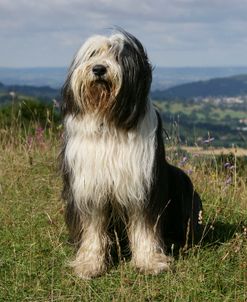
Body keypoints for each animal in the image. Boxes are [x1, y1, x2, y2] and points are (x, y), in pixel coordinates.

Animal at [60, 30, 203, 278]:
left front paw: (149, 262)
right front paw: (90, 264)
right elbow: (92, 228)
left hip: (181, 182)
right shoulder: (88, 186)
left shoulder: (143, 185)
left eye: (118, 55)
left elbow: (145, 226)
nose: (98, 69)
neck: (110, 123)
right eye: (93, 53)